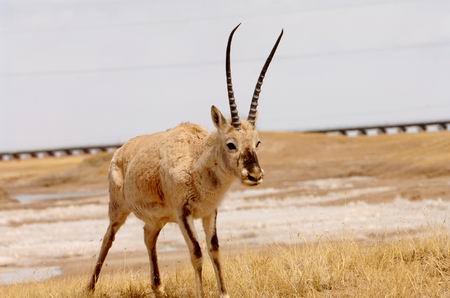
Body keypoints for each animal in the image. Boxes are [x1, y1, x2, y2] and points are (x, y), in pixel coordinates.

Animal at [88, 24, 284, 296]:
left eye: (257, 143)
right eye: (231, 144)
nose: (254, 175)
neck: (197, 161)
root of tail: (121, 151)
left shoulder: (209, 212)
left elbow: (214, 249)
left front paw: (224, 292)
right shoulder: (183, 214)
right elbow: (197, 252)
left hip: (156, 220)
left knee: (148, 236)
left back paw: (158, 288)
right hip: (118, 209)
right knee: (109, 237)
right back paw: (90, 287)